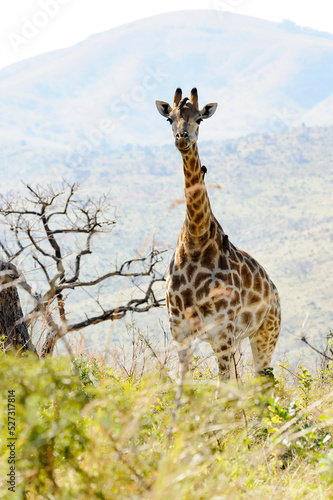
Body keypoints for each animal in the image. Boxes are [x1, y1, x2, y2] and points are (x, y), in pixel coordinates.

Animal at [156, 87, 280, 378]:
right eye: (169, 119)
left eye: (199, 119)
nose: (182, 138)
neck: (196, 238)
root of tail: (274, 289)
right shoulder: (180, 331)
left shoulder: (223, 331)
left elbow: (222, 386)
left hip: (265, 334)